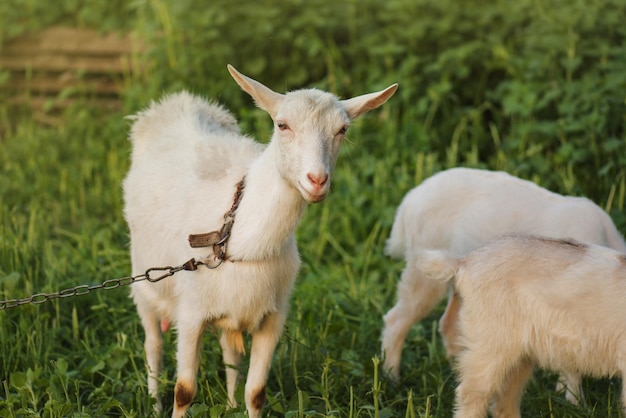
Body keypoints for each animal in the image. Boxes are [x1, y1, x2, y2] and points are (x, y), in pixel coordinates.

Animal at [122, 63, 394, 416]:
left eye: (342, 129)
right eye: (282, 125)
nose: (317, 180)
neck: (242, 239)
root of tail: (176, 102)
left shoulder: (272, 317)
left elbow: (256, 392)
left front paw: (242, 401)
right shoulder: (191, 312)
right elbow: (184, 391)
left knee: (230, 353)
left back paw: (229, 403)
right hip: (144, 282)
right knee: (152, 344)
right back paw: (154, 403)